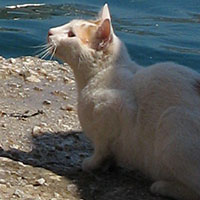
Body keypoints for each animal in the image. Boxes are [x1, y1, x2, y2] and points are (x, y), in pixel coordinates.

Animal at [47, 3, 200, 199]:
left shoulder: (116, 110)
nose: (50, 31)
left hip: (173, 122)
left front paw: (91, 164)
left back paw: (162, 186)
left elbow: (102, 149)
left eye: (71, 35)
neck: (100, 74)